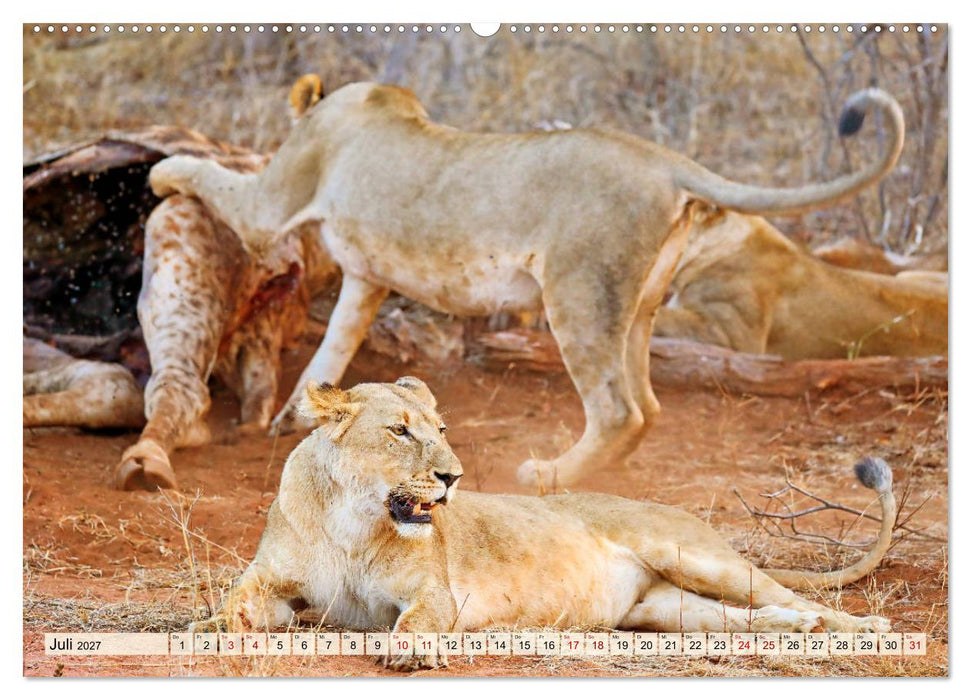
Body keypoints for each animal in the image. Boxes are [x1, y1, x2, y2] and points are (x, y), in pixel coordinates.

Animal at [149, 79, 905, 489]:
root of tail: (664, 160)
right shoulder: (365, 280)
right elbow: (332, 351)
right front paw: (299, 417)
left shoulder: (269, 203)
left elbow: (211, 175)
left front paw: (159, 171)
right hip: (635, 309)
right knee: (647, 405)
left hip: (575, 294)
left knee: (619, 410)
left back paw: (545, 476)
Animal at [197, 378, 895, 671]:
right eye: (400, 431)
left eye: (441, 430)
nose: (452, 477)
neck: (352, 515)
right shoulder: (273, 583)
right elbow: (235, 601)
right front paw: (208, 628)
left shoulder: (434, 591)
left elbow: (418, 618)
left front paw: (414, 651)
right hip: (665, 611)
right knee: (745, 617)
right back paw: (795, 630)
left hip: (694, 556)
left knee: (793, 595)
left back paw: (864, 628)